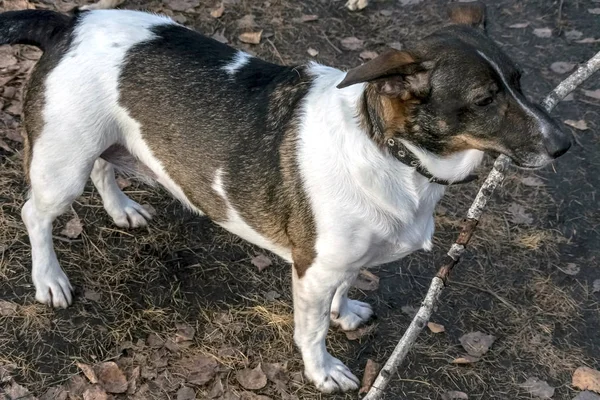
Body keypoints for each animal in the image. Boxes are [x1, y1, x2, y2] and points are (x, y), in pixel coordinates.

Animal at [0, 1, 568, 392]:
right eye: (485, 100)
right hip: (61, 165)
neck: (388, 150)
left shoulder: (338, 261)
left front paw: (345, 312)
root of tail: (69, 22)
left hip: (97, 144)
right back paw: (49, 278)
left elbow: (344, 289)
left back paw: (122, 208)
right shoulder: (312, 269)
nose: (565, 144)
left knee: (103, 166)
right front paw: (324, 372)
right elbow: (311, 331)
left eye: (519, 80)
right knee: (35, 214)